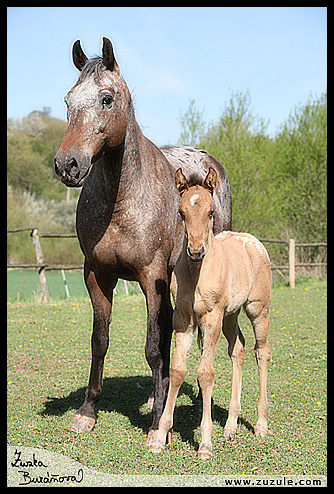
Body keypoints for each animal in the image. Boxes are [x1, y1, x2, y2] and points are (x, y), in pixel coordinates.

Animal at [54, 36, 232, 442]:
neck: (121, 200)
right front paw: (87, 412)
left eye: (106, 98)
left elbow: (152, 346)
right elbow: (100, 341)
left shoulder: (152, 276)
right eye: (69, 101)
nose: (67, 165)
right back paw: (158, 396)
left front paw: (156, 428)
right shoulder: (97, 276)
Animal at [150, 167, 272, 460]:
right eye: (181, 212)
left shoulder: (211, 318)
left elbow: (205, 373)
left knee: (262, 352)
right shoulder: (183, 320)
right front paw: (160, 437)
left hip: (257, 309)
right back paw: (230, 425)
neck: (196, 273)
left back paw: (261, 424)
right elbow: (178, 370)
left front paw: (205, 443)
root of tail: (254, 242)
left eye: (211, 212)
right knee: (238, 350)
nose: (196, 251)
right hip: (231, 315)